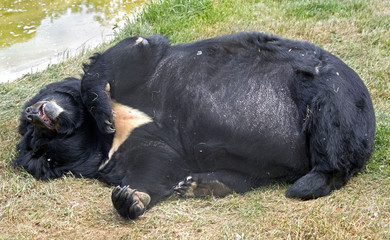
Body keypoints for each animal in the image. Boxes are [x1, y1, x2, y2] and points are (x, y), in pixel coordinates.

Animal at [13, 31, 376, 219]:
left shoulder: (142, 73)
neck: (101, 141)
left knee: (332, 137)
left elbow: (129, 53)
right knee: (244, 174)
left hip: (331, 89)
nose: (33, 114)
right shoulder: (126, 151)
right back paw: (199, 185)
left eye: (29, 131)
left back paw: (308, 182)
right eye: (37, 149)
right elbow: (157, 165)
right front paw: (129, 198)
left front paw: (101, 110)